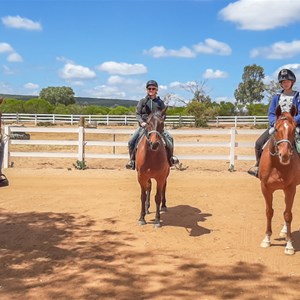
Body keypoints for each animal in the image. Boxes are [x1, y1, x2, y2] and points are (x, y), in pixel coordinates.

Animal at [258, 104, 300, 254]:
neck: (277, 165)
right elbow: (269, 211)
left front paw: (289, 245)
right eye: (276, 129)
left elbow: (288, 214)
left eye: (294, 128)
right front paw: (266, 239)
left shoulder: (291, 189)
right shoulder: (265, 188)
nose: (285, 155)